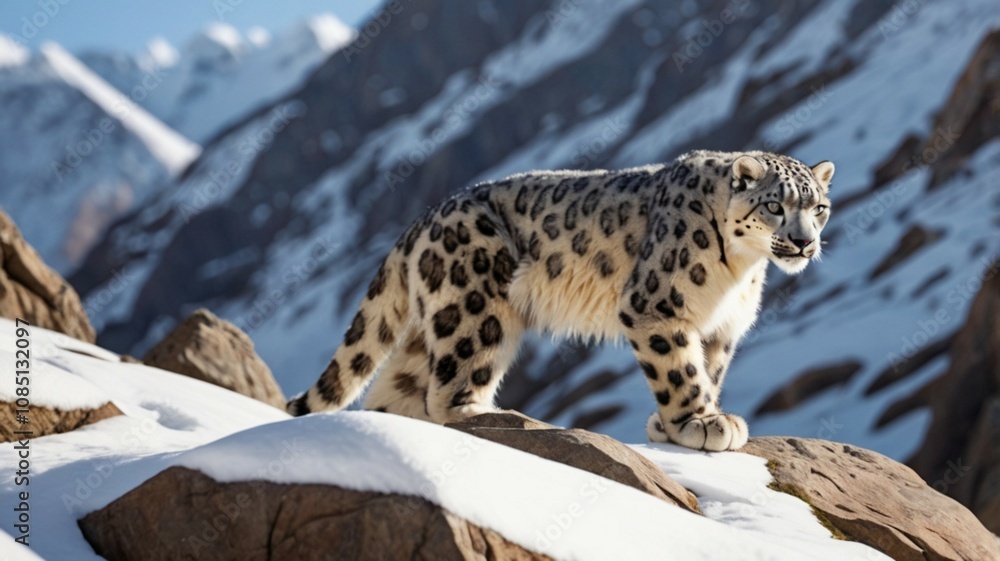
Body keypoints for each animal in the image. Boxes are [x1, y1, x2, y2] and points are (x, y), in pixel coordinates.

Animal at [287, 150, 834, 451]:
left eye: (819, 208)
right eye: (775, 204)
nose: (804, 242)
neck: (741, 270)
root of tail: (423, 217)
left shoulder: (720, 327)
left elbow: (707, 369)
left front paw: (677, 424)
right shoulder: (655, 303)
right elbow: (679, 369)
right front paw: (698, 423)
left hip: (431, 323)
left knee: (394, 392)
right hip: (475, 308)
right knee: (449, 389)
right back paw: (493, 415)